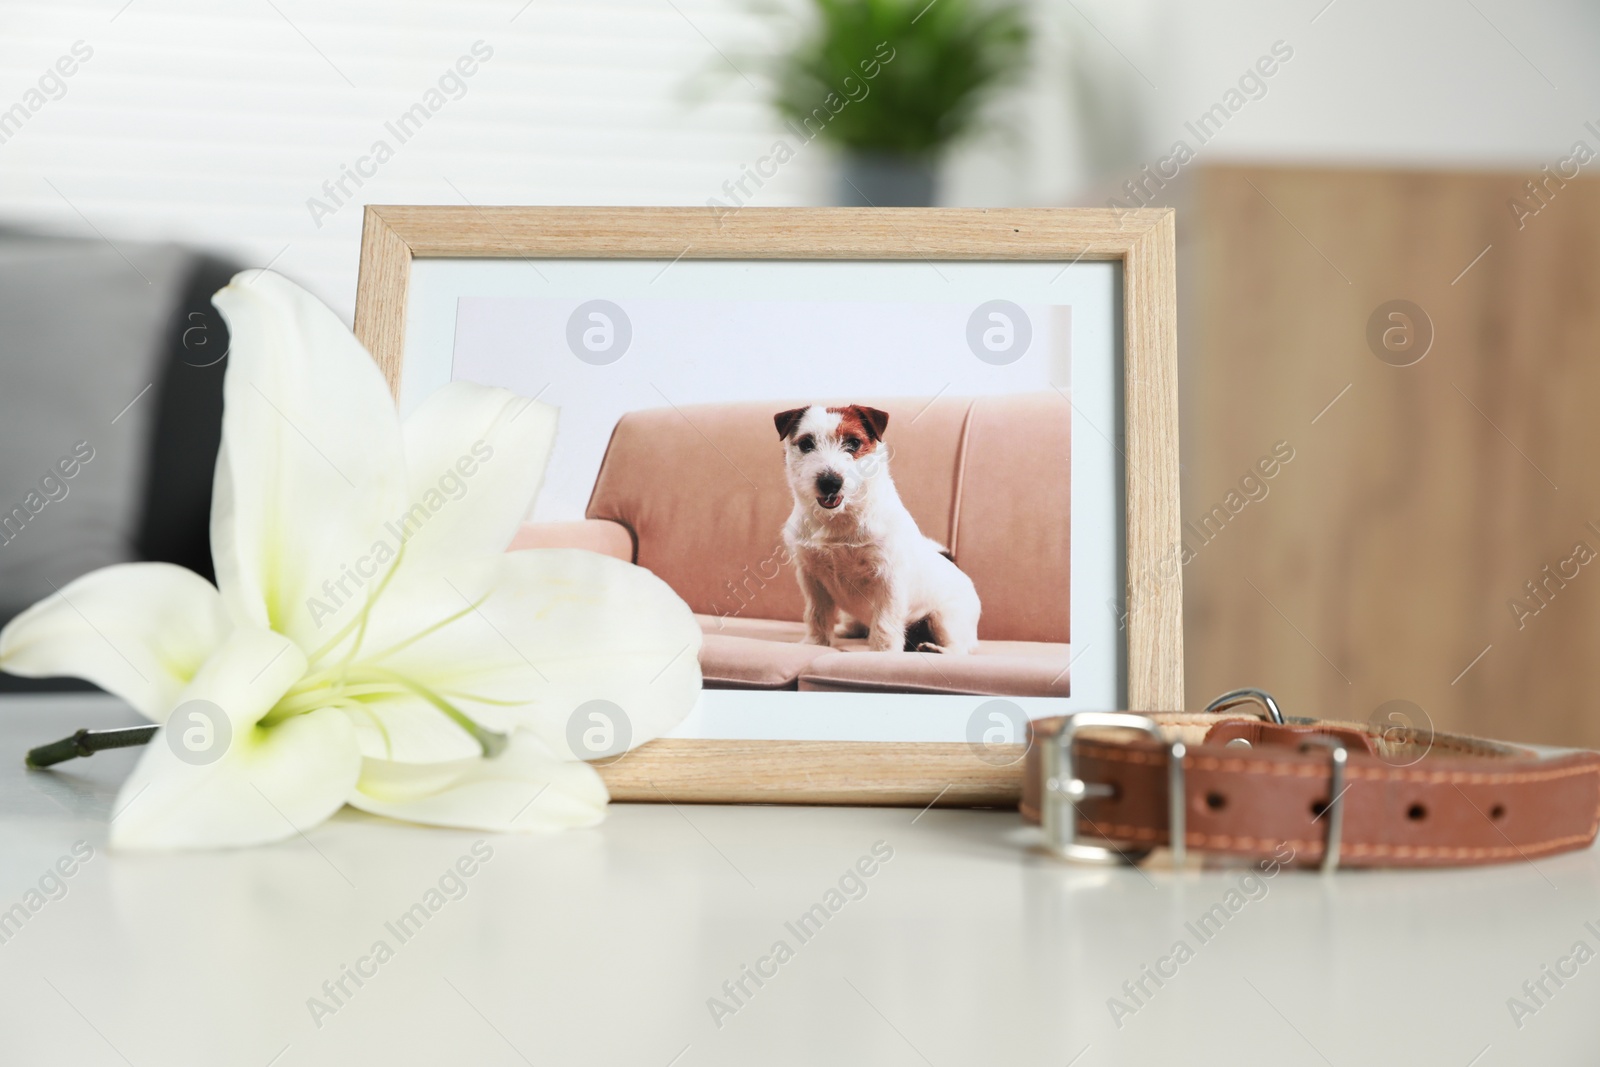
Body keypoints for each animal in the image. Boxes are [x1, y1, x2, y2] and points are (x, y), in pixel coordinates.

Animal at [771, 403, 979, 655]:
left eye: (853, 443)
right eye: (806, 444)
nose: (830, 482)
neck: (839, 519)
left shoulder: (888, 579)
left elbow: (884, 622)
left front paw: (883, 653)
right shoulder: (812, 579)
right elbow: (816, 614)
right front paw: (815, 643)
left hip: (945, 619)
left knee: (961, 647)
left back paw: (935, 649)